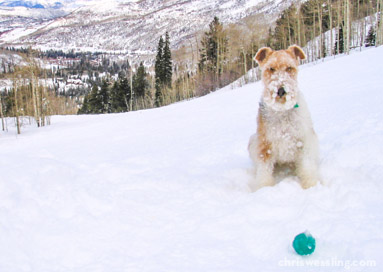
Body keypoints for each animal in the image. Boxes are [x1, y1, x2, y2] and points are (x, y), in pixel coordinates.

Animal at [249, 45, 320, 189]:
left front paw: (310, 185)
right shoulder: (265, 145)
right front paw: (264, 188)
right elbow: (264, 170)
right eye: (271, 68)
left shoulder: (304, 140)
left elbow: (307, 166)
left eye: (289, 68)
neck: (282, 111)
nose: (281, 90)